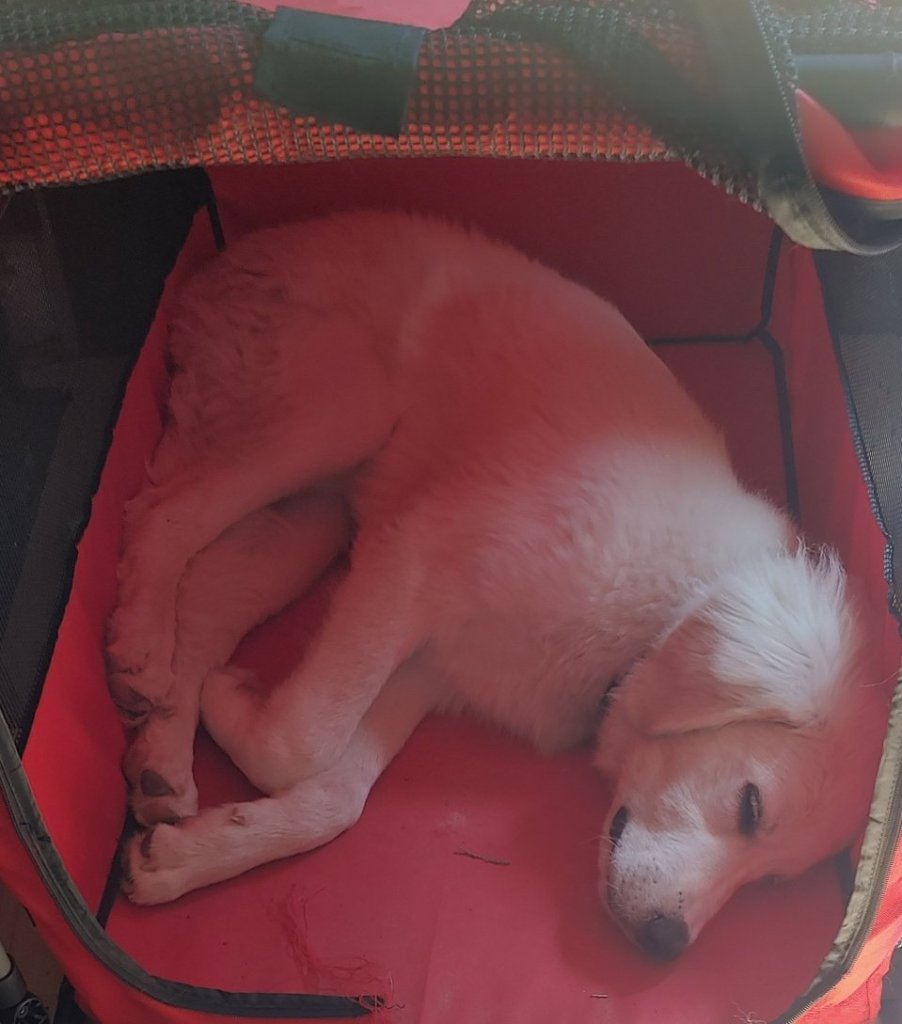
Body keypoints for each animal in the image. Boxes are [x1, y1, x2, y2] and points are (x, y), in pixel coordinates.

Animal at [108, 210, 885, 961]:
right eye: (752, 807)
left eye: (773, 879)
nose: (665, 946)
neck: (654, 619)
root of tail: (231, 255)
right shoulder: (413, 561)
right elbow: (301, 739)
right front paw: (234, 710)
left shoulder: (433, 666)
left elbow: (335, 796)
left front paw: (184, 854)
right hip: (334, 416)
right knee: (159, 512)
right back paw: (140, 652)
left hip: (309, 524)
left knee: (203, 591)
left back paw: (161, 759)